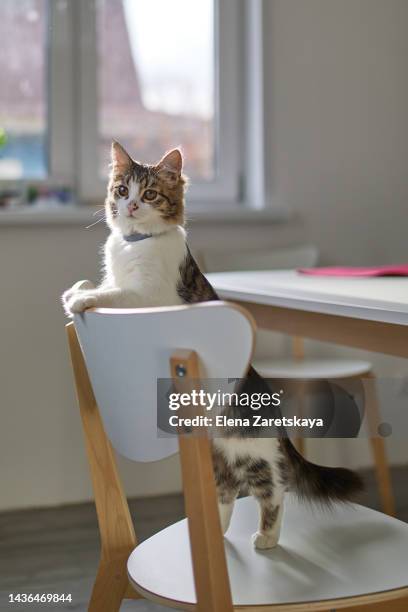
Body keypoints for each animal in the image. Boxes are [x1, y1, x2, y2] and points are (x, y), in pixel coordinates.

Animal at [63, 143, 364, 548]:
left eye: (150, 194)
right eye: (122, 190)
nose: (131, 206)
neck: (136, 242)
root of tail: (276, 415)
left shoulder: (151, 296)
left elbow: (115, 293)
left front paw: (82, 299)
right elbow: (97, 282)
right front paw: (77, 290)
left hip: (250, 454)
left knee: (275, 490)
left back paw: (266, 538)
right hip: (216, 457)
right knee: (226, 492)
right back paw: (216, 535)